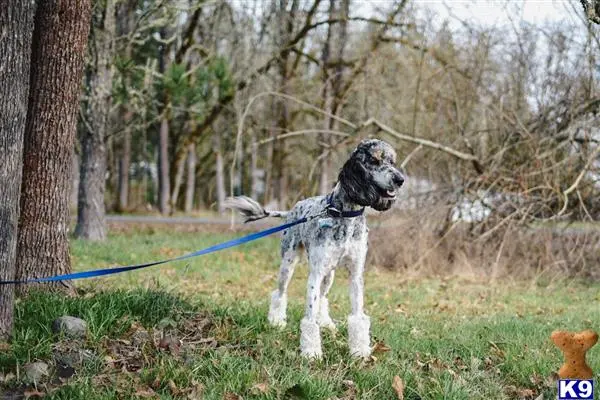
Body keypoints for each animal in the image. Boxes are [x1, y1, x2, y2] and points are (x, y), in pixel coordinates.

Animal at [224, 139, 404, 358]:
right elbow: (309, 320)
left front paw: (360, 351)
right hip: (288, 264)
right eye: (374, 160)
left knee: (323, 299)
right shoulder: (315, 274)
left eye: (392, 161)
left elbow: (357, 317)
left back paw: (326, 323)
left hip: (329, 275)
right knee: (280, 293)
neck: (345, 215)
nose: (400, 179)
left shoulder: (355, 274)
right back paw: (276, 321)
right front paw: (311, 353)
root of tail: (293, 209)